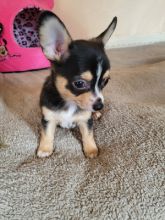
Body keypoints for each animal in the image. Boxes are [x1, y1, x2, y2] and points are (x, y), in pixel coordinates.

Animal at [36, 11, 116, 158]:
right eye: (79, 84)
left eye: (105, 81)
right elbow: (47, 134)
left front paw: (91, 150)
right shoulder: (48, 119)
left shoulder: (85, 120)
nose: (99, 106)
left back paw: (96, 114)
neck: (69, 102)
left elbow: (88, 135)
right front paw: (44, 148)